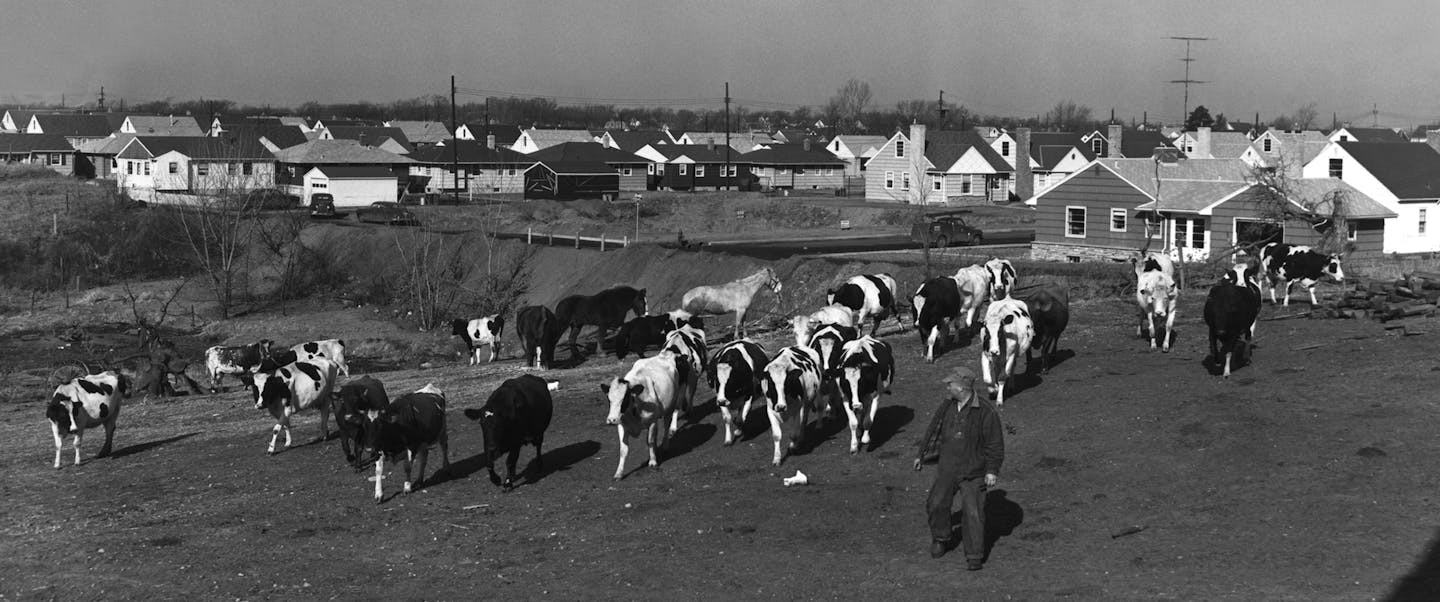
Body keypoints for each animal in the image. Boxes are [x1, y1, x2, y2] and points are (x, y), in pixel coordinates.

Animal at [596, 348, 685, 481]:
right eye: (609, 399)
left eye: (625, 399)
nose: (611, 420)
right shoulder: (622, 426)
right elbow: (623, 450)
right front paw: (619, 473)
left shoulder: (652, 422)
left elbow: (650, 441)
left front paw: (653, 462)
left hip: (670, 408)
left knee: (666, 426)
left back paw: (665, 445)